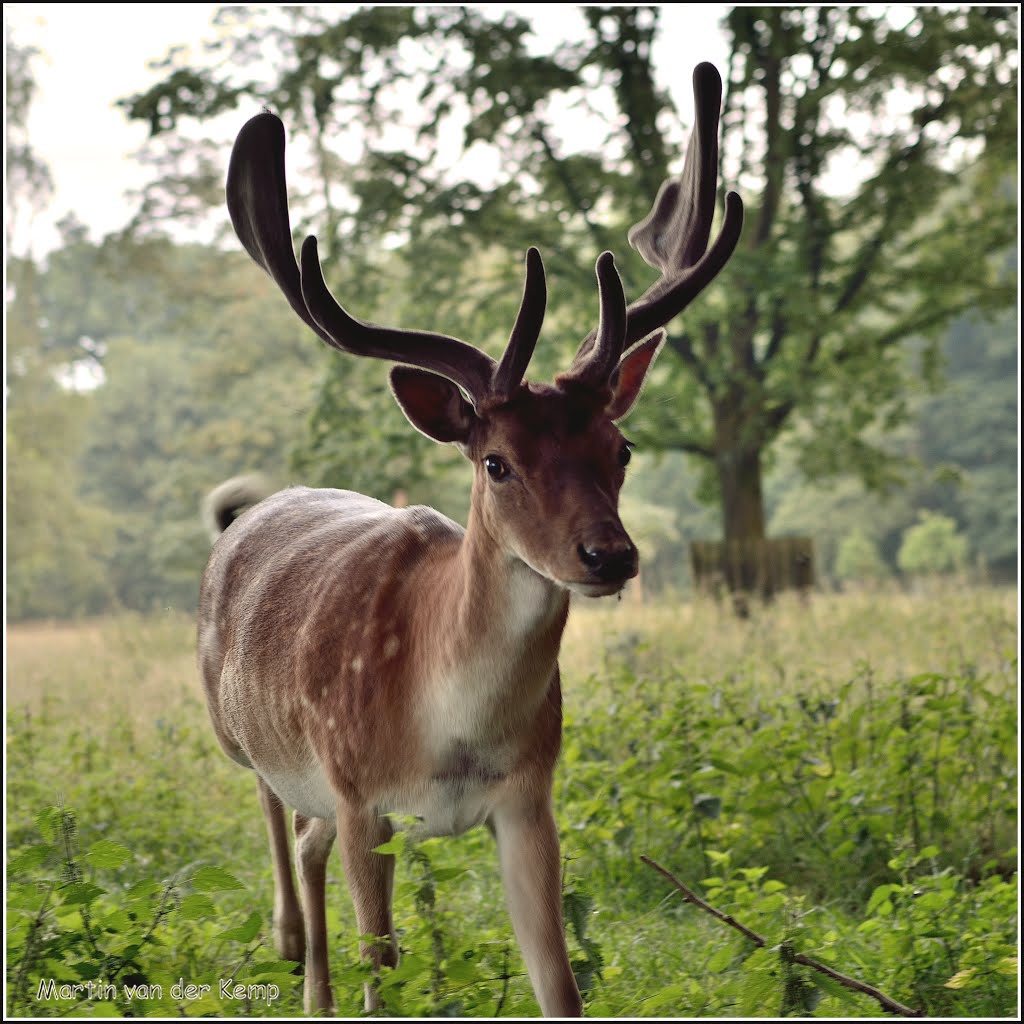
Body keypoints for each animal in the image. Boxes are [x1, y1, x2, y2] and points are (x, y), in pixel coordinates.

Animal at [197, 61, 745, 1015]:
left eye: (620, 448)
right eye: (497, 462)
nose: (610, 555)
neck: (448, 730)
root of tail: (247, 514)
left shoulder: (530, 796)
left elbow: (560, 982)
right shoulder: (360, 794)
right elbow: (384, 971)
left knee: (304, 839)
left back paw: (311, 986)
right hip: (245, 729)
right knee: (275, 807)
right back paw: (287, 940)